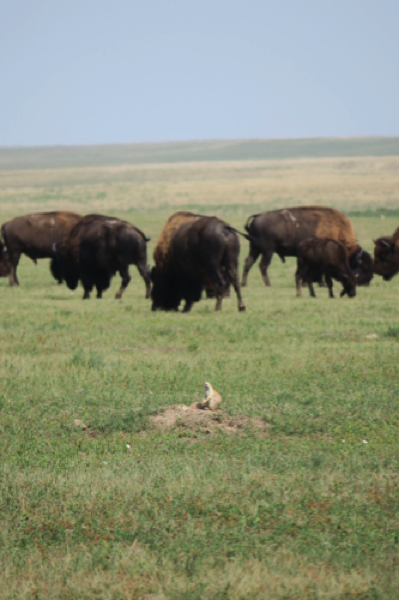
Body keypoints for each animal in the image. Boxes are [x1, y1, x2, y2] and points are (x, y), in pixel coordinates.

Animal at [241, 206, 376, 288]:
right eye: (363, 267)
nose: (367, 282)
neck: (337, 229)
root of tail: (257, 217)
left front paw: (310, 284)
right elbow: (316, 271)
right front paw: (316, 284)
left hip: (254, 248)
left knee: (248, 262)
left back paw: (244, 284)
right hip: (268, 250)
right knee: (262, 265)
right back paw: (268, 284)